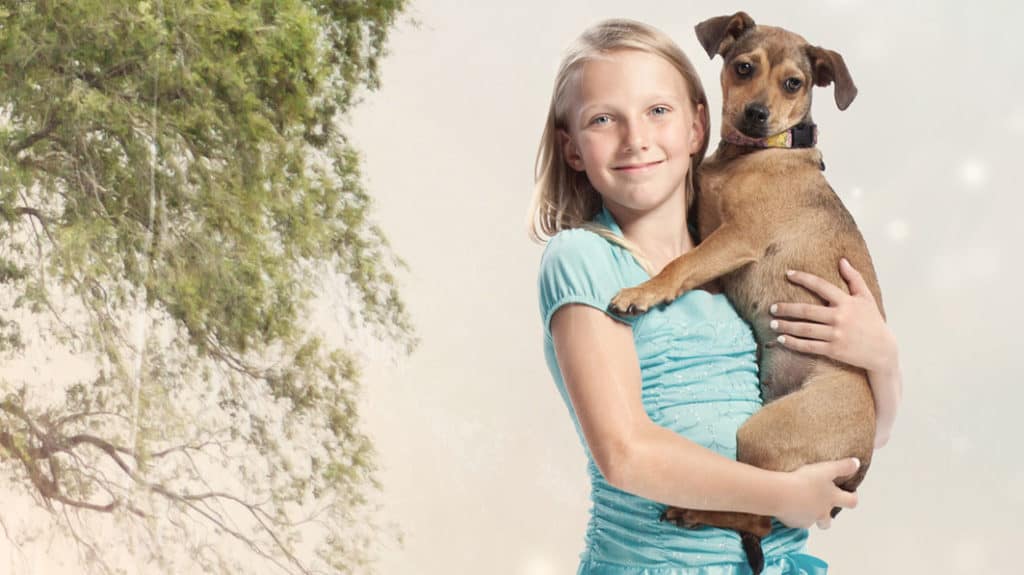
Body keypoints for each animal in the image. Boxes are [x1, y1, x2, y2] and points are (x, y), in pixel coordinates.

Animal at [606, 11, 880, 568]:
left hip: (761, 438)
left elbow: (680, 263)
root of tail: (856, 470)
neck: (752, 156)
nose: (756, 114)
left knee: (758, 517)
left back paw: (692, 512)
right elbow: (689, 265)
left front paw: (643, 291)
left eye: (794, 83)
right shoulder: (715, 245)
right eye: (743, 67)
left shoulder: (735, 238)